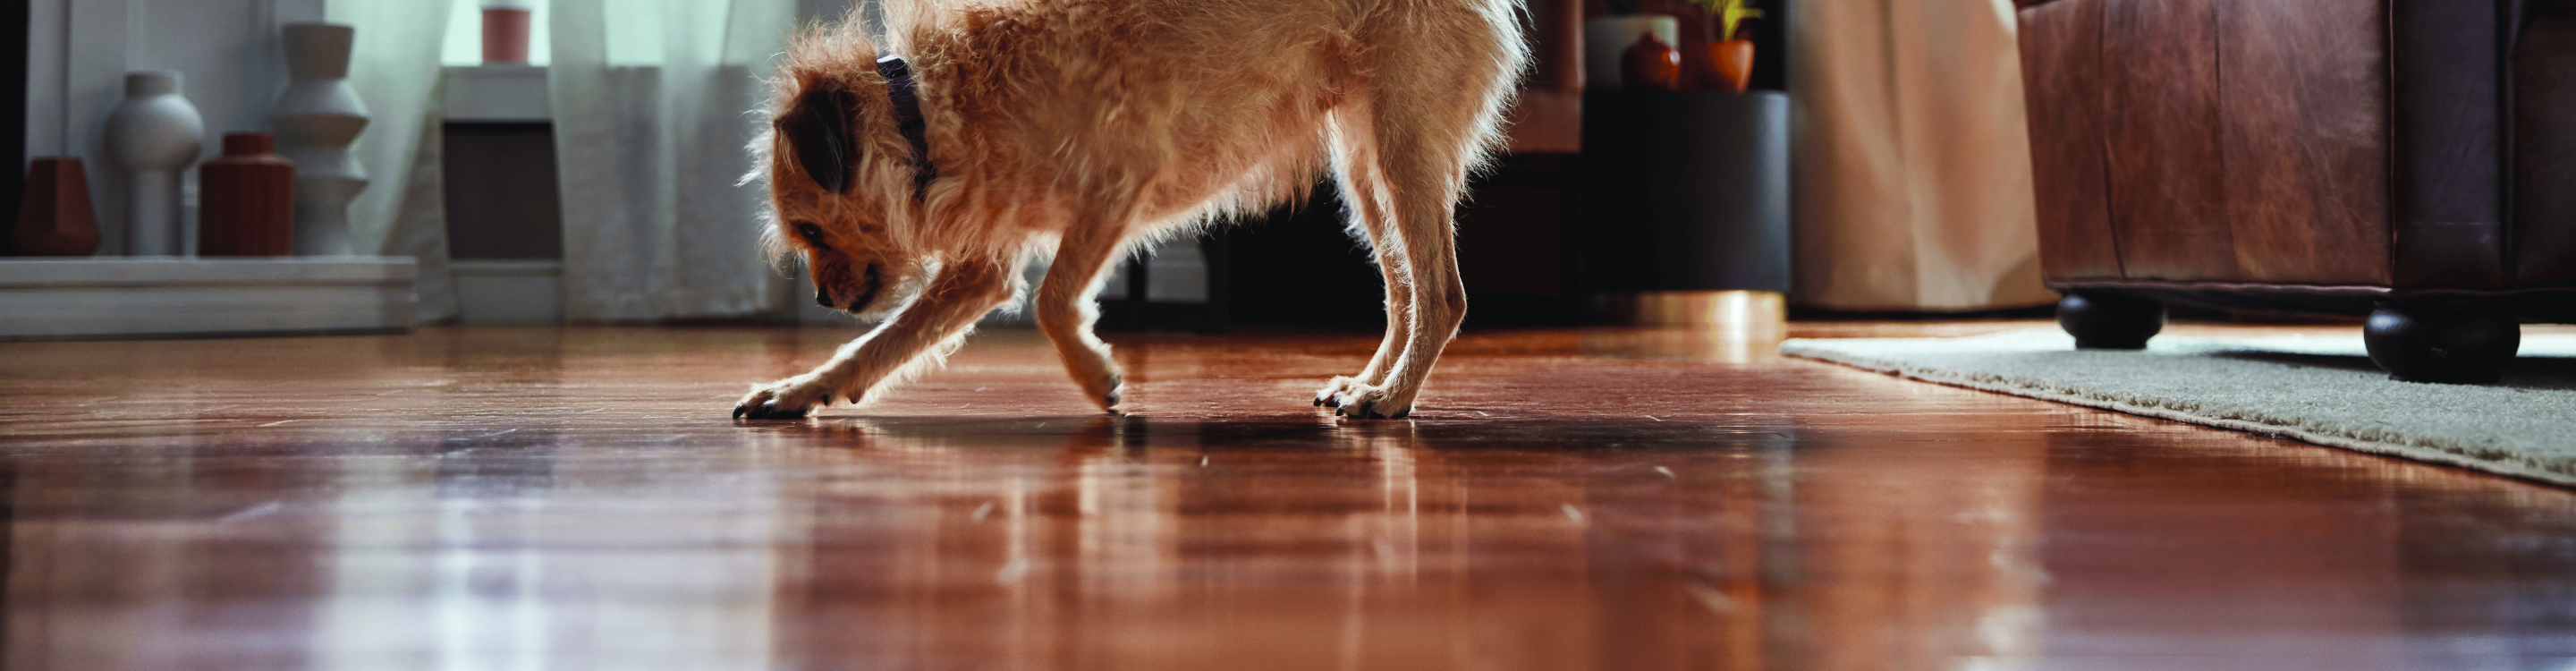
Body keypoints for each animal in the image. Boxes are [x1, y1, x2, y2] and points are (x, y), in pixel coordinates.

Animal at [736, 0, 1514, 418]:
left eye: (810, 227)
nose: (821, 298)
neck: (925, 109)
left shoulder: (1118, 186)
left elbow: (1054, 300)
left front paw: (1096, 376)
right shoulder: (981, 270)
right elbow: (879, 346)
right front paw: (804, 389)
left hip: (1402, 152)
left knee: (1442, 294)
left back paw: (1392, 397)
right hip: (1365, 171)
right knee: (1405, 292)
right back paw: (1374, 383)